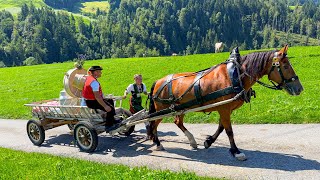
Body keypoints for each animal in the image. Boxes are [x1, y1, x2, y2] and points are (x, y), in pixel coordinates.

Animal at [147, 45, 302, 160]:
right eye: (286, 66)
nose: (299, 88)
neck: (235, 75)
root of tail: (158, 81)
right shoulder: (224, 109)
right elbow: (229, 131)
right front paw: (236, 151)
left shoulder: (225, 109)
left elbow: (221, 127)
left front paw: (208, 141)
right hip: (161, 109)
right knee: (153, 124)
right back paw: (158, 143)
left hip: (179, 108)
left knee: (177, 122)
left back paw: (192, 141)